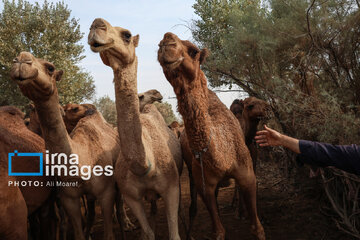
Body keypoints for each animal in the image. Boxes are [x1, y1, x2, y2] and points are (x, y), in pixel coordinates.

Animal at [10, 52, 122, 240]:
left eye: (50, 67)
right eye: (15, 59)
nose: (21, 60)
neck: (83, 160)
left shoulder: (106, 192)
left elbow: (109, 233)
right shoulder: (69, 199)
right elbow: (77, 232)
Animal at [87, 18, 183, 240]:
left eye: (127, 35)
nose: (96, 25)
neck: (145, 165)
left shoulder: (171, 188)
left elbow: (174, 234)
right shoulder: (131, 196)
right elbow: (148, 233)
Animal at [159, 32, 266, 240]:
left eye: (193, 51)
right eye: (158, 47)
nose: (166, 42)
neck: (223, 156)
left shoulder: (248, 175)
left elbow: (257, 228)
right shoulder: (205, 186)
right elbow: (218, 231)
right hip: (192, 174)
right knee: (194, 205)